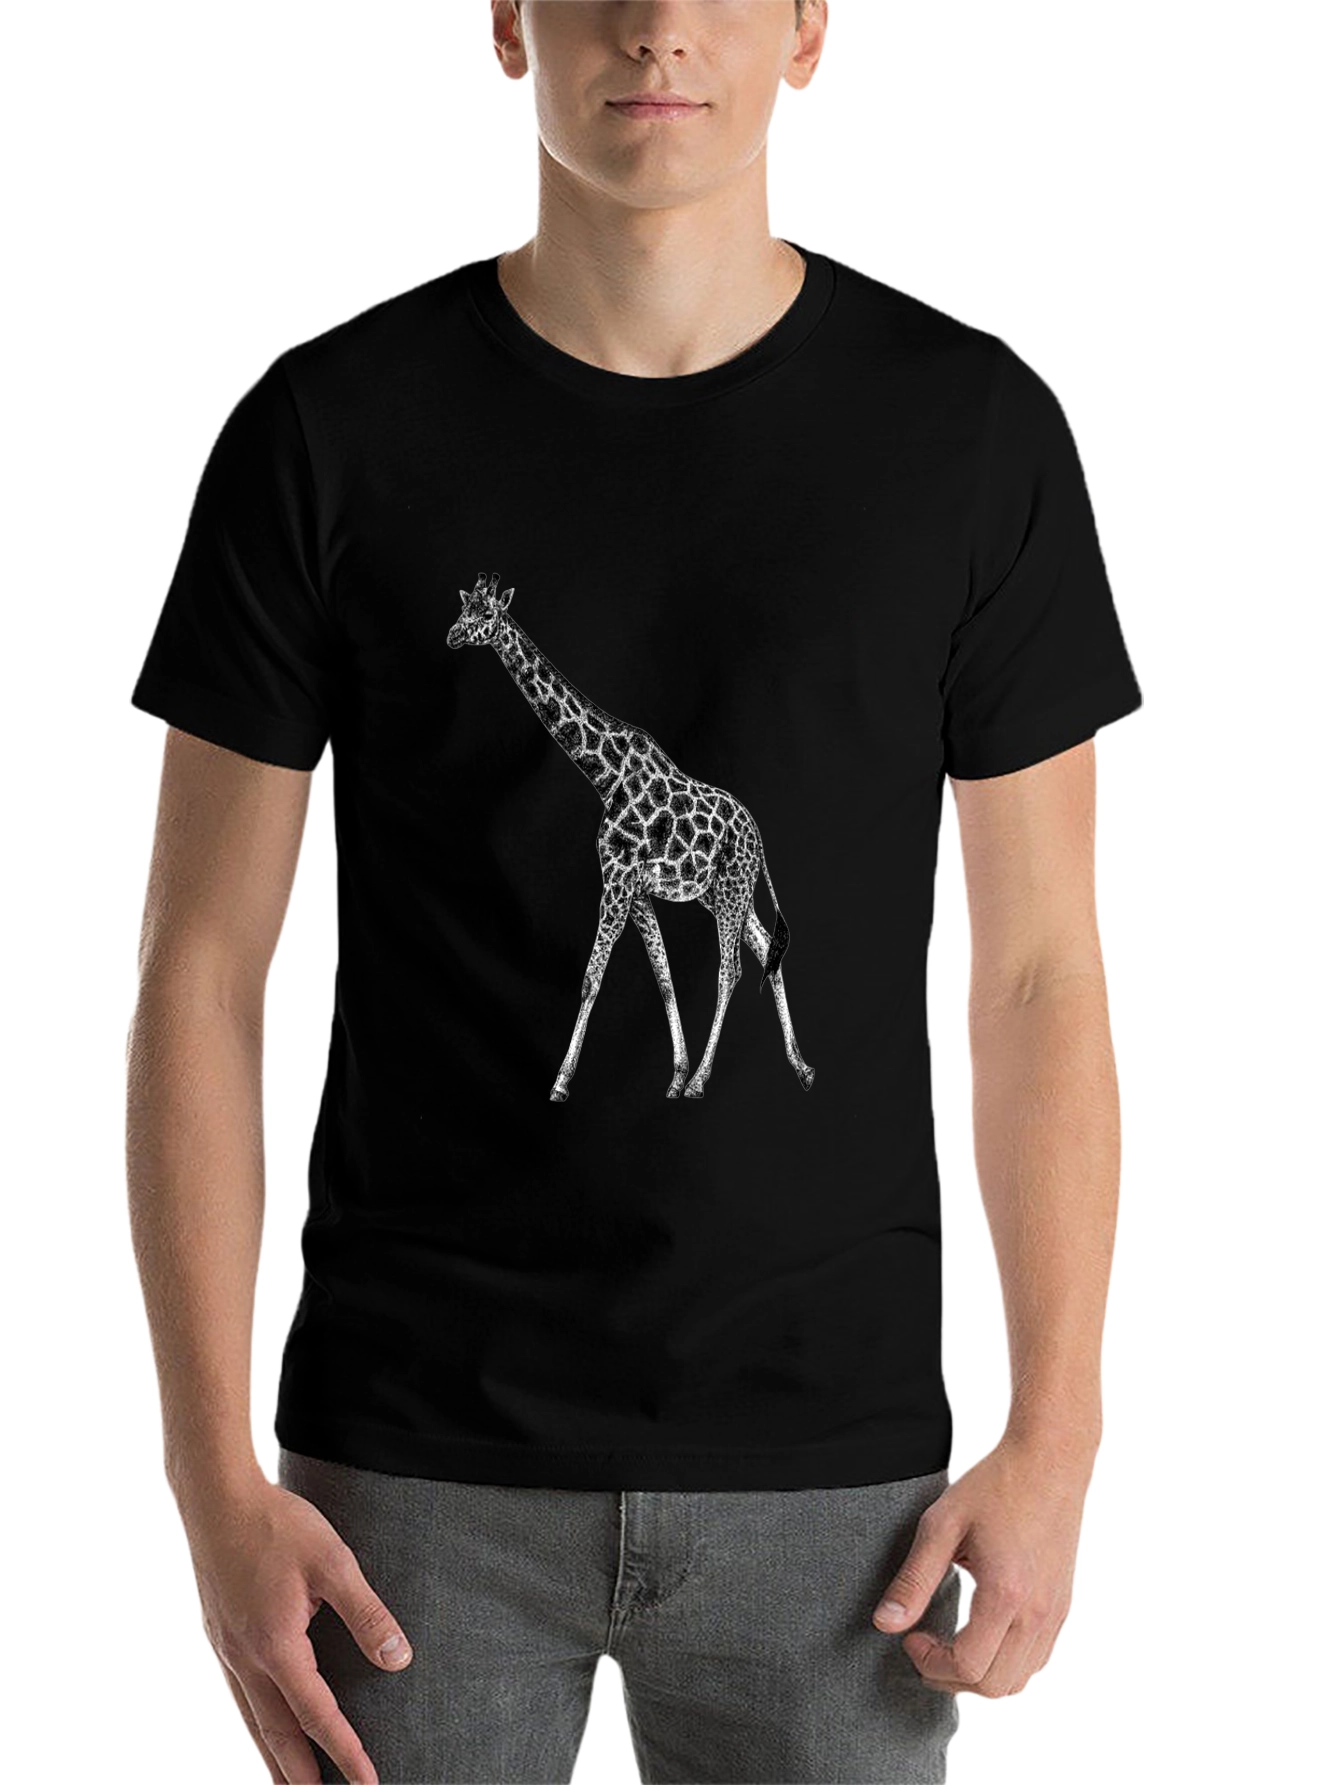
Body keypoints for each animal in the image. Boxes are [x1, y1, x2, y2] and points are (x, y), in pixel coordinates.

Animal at [448, 576, 815, 1102]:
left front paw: (561, 1080)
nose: (453, 634)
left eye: (486, 615)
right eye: (466, 608)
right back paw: (798, 1064)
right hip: (724, 892)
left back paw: (704, 1080)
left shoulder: (617, 883)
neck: (605, 774)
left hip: (731, 889)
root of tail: (759, 836)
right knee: (766, 949)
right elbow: (663, 977)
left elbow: (591, 978)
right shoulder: (636, 891)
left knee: (731, 969)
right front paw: (675, 1072)